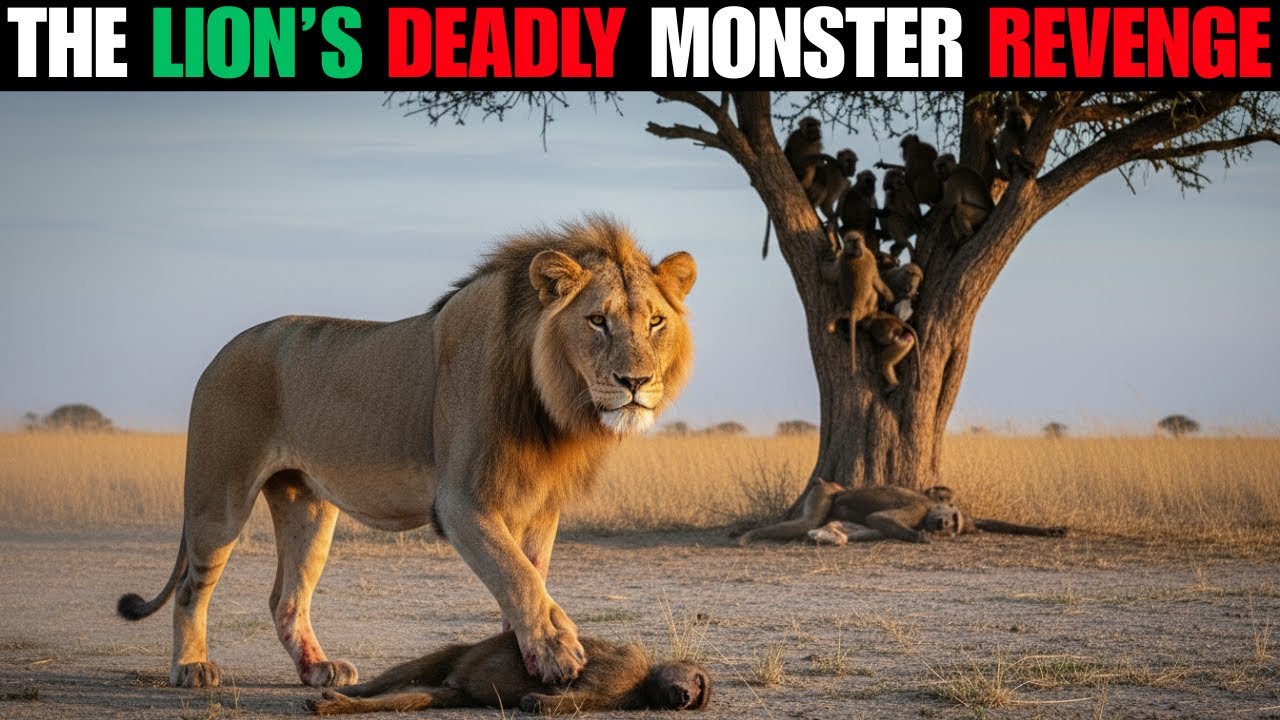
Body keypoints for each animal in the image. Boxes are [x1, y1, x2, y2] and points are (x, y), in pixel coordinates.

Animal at [116, 216, 697, 689]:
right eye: (597, 320)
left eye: (655, 322)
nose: (636, 382)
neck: (550, 404)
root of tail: (222, 352)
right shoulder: (461, 502)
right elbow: (516, 576)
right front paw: (556, 650)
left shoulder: (538, 504)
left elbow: (529, 575)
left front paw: (524, 658)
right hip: (219, 496)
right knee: (191, 587)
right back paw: (191, 668)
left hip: (307, 505)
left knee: (286, 598)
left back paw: (317, 668)